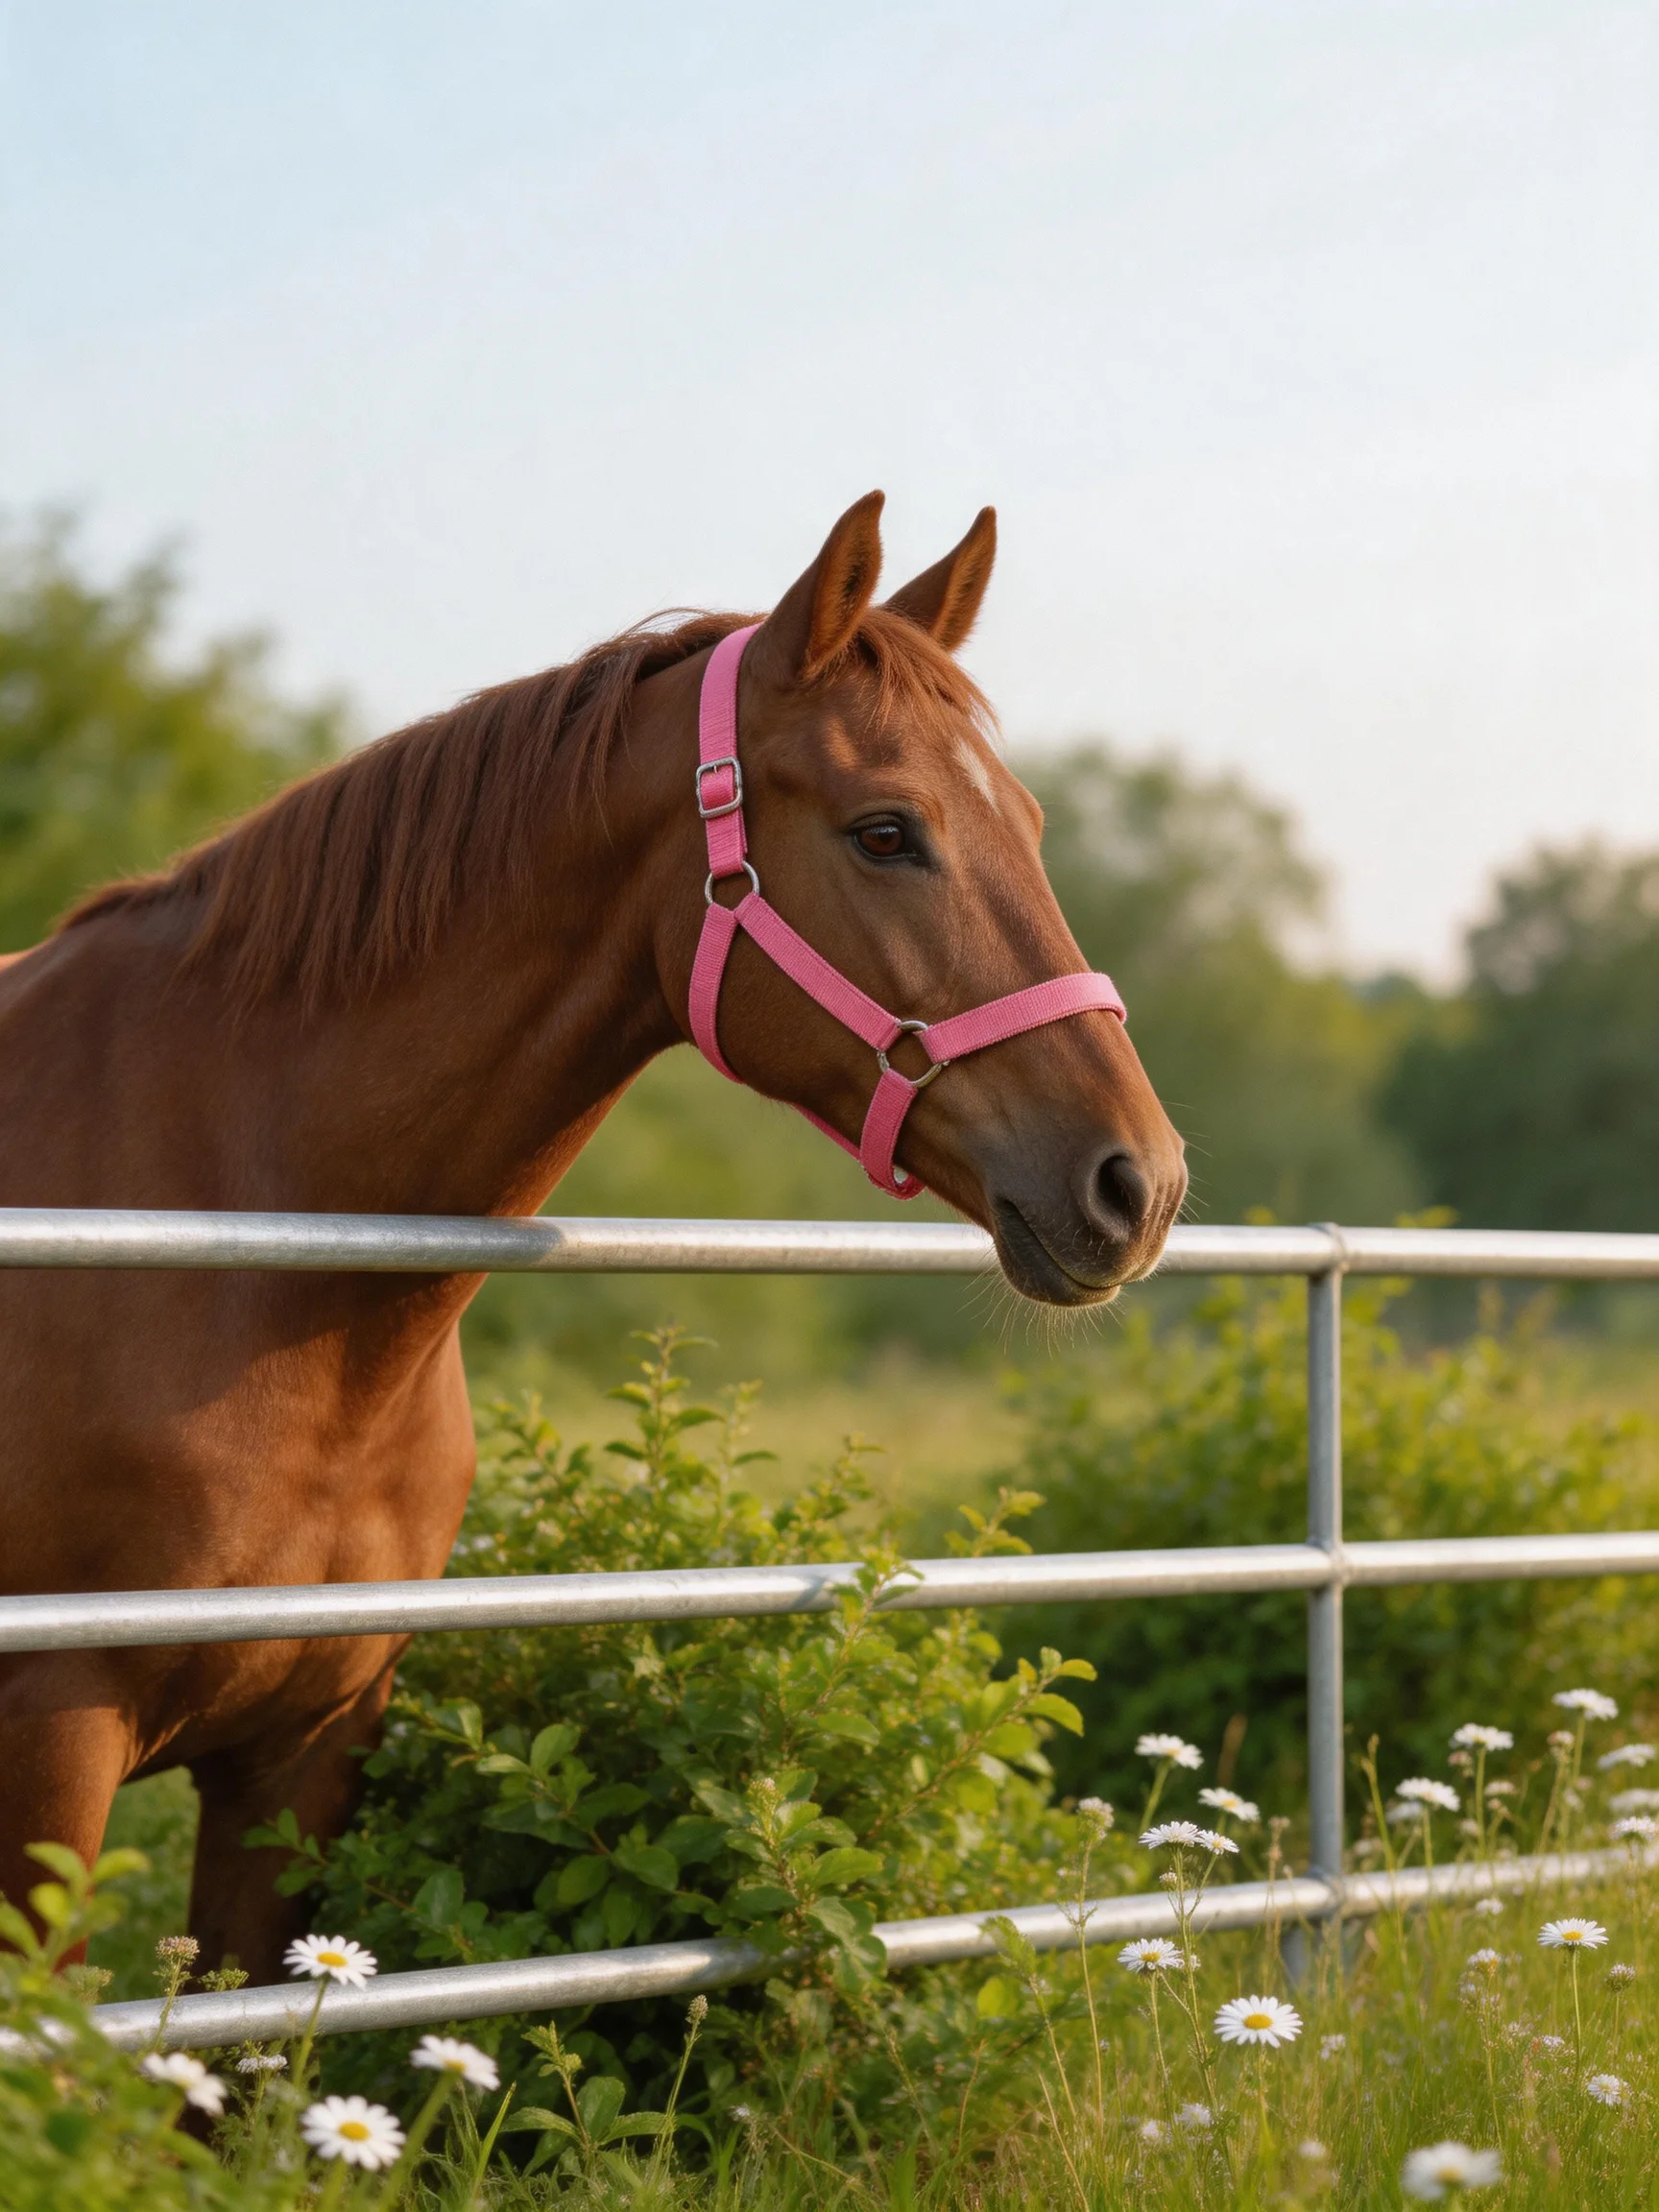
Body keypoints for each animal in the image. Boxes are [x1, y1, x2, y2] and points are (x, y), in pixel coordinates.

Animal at [0, 493, 1186, 1979]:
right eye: (885, 831)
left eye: (1026, 819)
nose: (1139, 1183)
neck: (239, 1253)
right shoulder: (52, 1754)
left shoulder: (303, 1760)